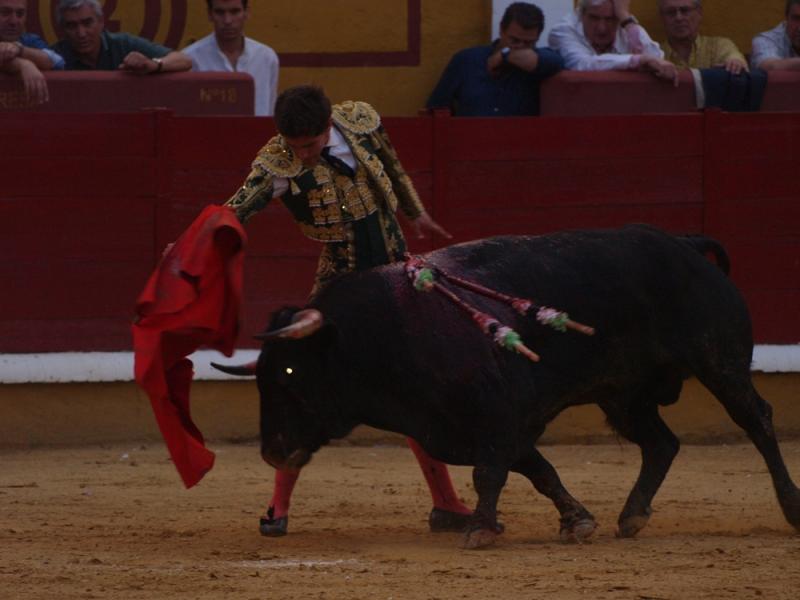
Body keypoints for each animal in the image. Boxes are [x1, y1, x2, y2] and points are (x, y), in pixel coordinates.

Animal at [214, 225, 800, 548]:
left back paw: (792, 507)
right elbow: (538, 470)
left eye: (290, 374)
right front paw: (577, 520)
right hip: (624, 393)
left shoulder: (498, 414)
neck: (386, 333)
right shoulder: (488, 425)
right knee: (661, 443)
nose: (272, 452)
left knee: (757, 420)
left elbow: (490, 473)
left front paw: (479, 528)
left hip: (719, 362)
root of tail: (684, 244)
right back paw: (631, 516)